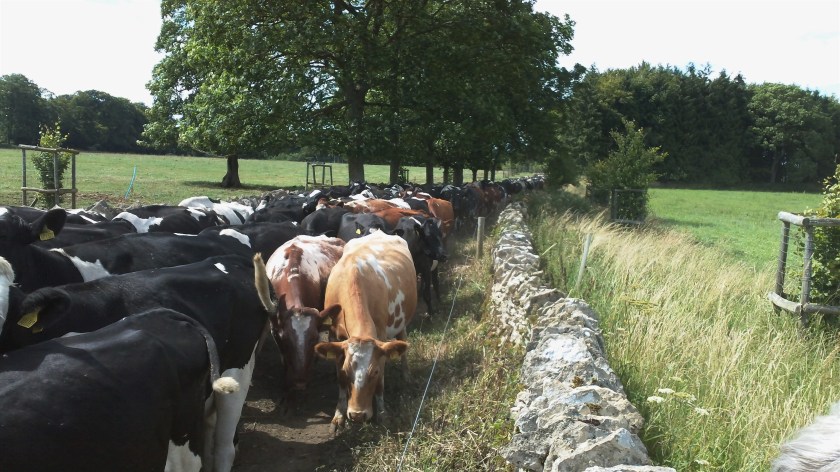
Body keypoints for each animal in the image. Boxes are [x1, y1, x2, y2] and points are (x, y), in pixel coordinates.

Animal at [314, 230, 418, 431]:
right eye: (347, 371)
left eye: (374, 372)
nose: (357, 415)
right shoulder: (334, 338)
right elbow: (340, 381)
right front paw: (338, 416)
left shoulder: (381, 340)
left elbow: (381, 384)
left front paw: (383, 415)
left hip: (402, 321)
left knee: (403, 343)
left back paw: (407, 375)